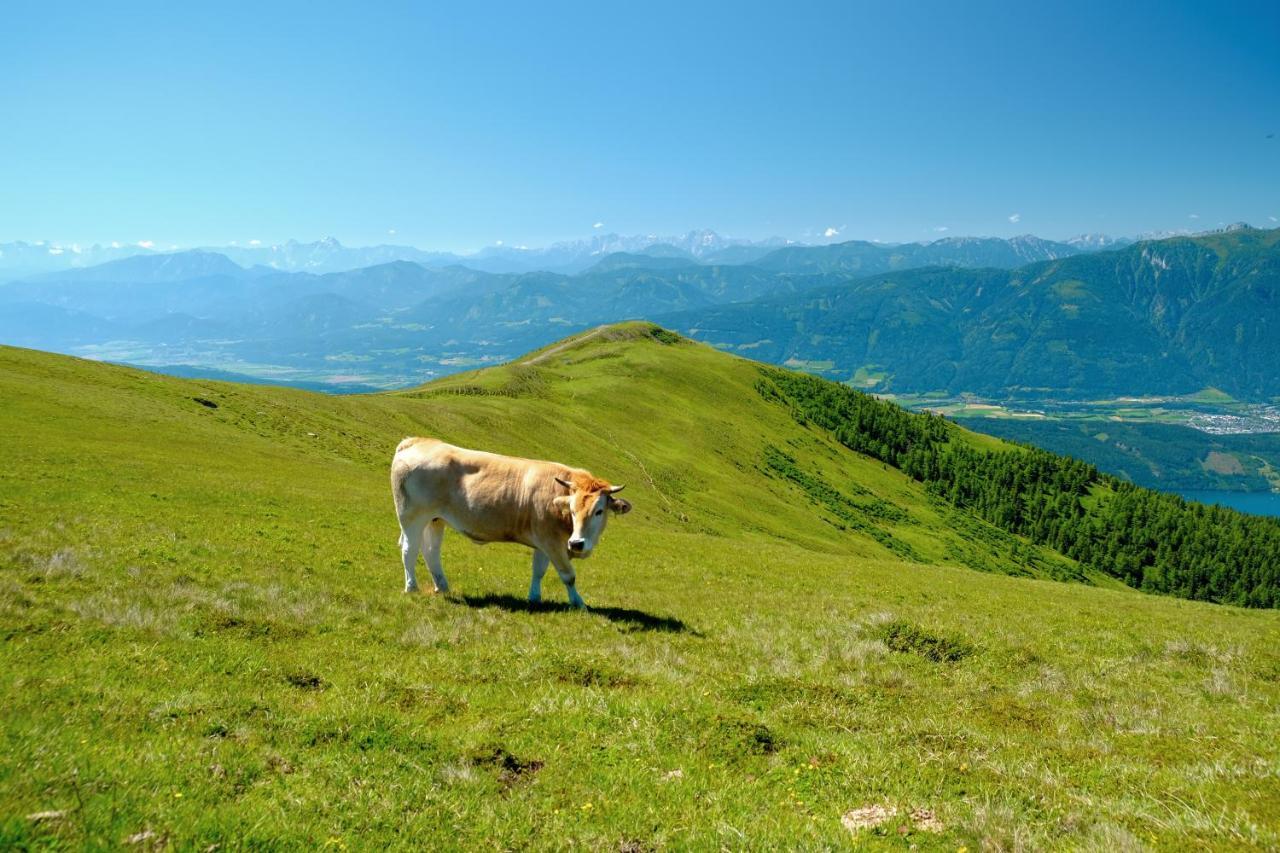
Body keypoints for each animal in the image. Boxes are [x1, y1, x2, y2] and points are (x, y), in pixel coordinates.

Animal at [386, 435, 632, 607]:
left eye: (599, 511)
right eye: (571, 510)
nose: (577, 544)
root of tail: (417, 441)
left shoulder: (544, 540)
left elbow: (538, 570)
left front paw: (534, 598)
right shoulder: (552, 542)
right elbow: (568, 575)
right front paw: (579, 603)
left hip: (435, 519)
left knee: (431, 551)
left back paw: (442, 587)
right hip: (412, 516)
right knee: (409, 549)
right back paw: (412, 587)